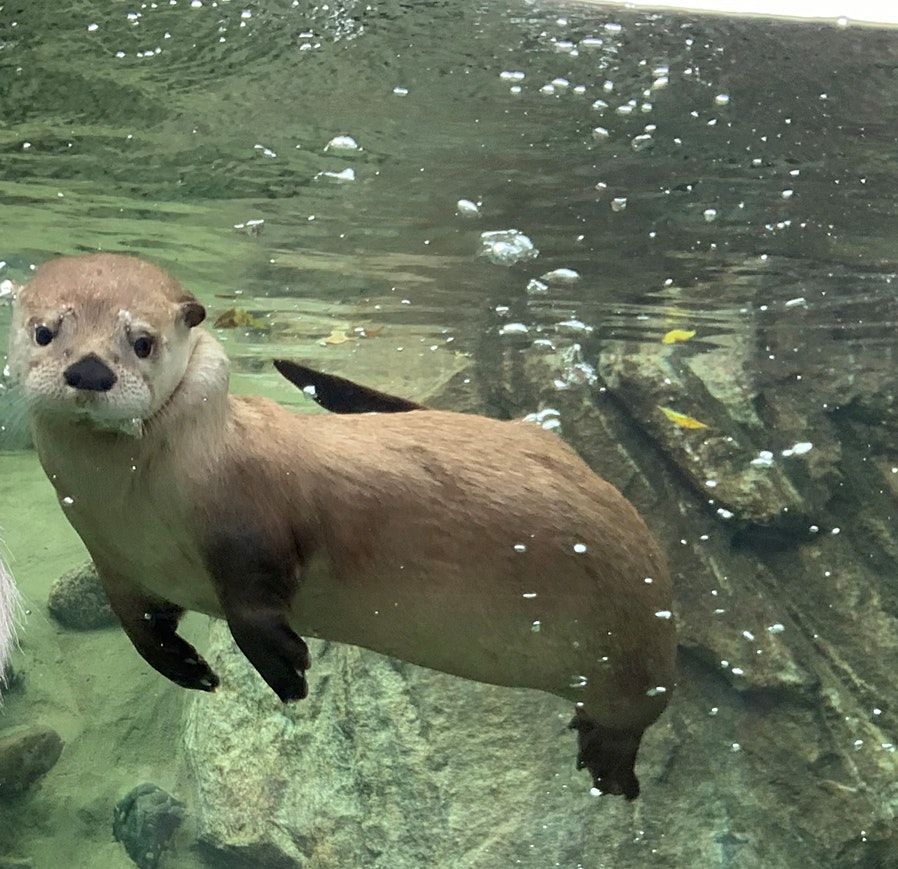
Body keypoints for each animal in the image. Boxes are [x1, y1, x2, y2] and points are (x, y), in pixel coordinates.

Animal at [8, 252, 676, 798]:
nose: (90, 372)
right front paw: (186, 666)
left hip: (638, 641)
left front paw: (288, 672)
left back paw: (610, 763)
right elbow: (140, 628)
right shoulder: (116, 561)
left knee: (637, 712)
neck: (139, 503)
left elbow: (252, 606)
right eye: (44, 332)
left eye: (142, 342)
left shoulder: (249, 527)